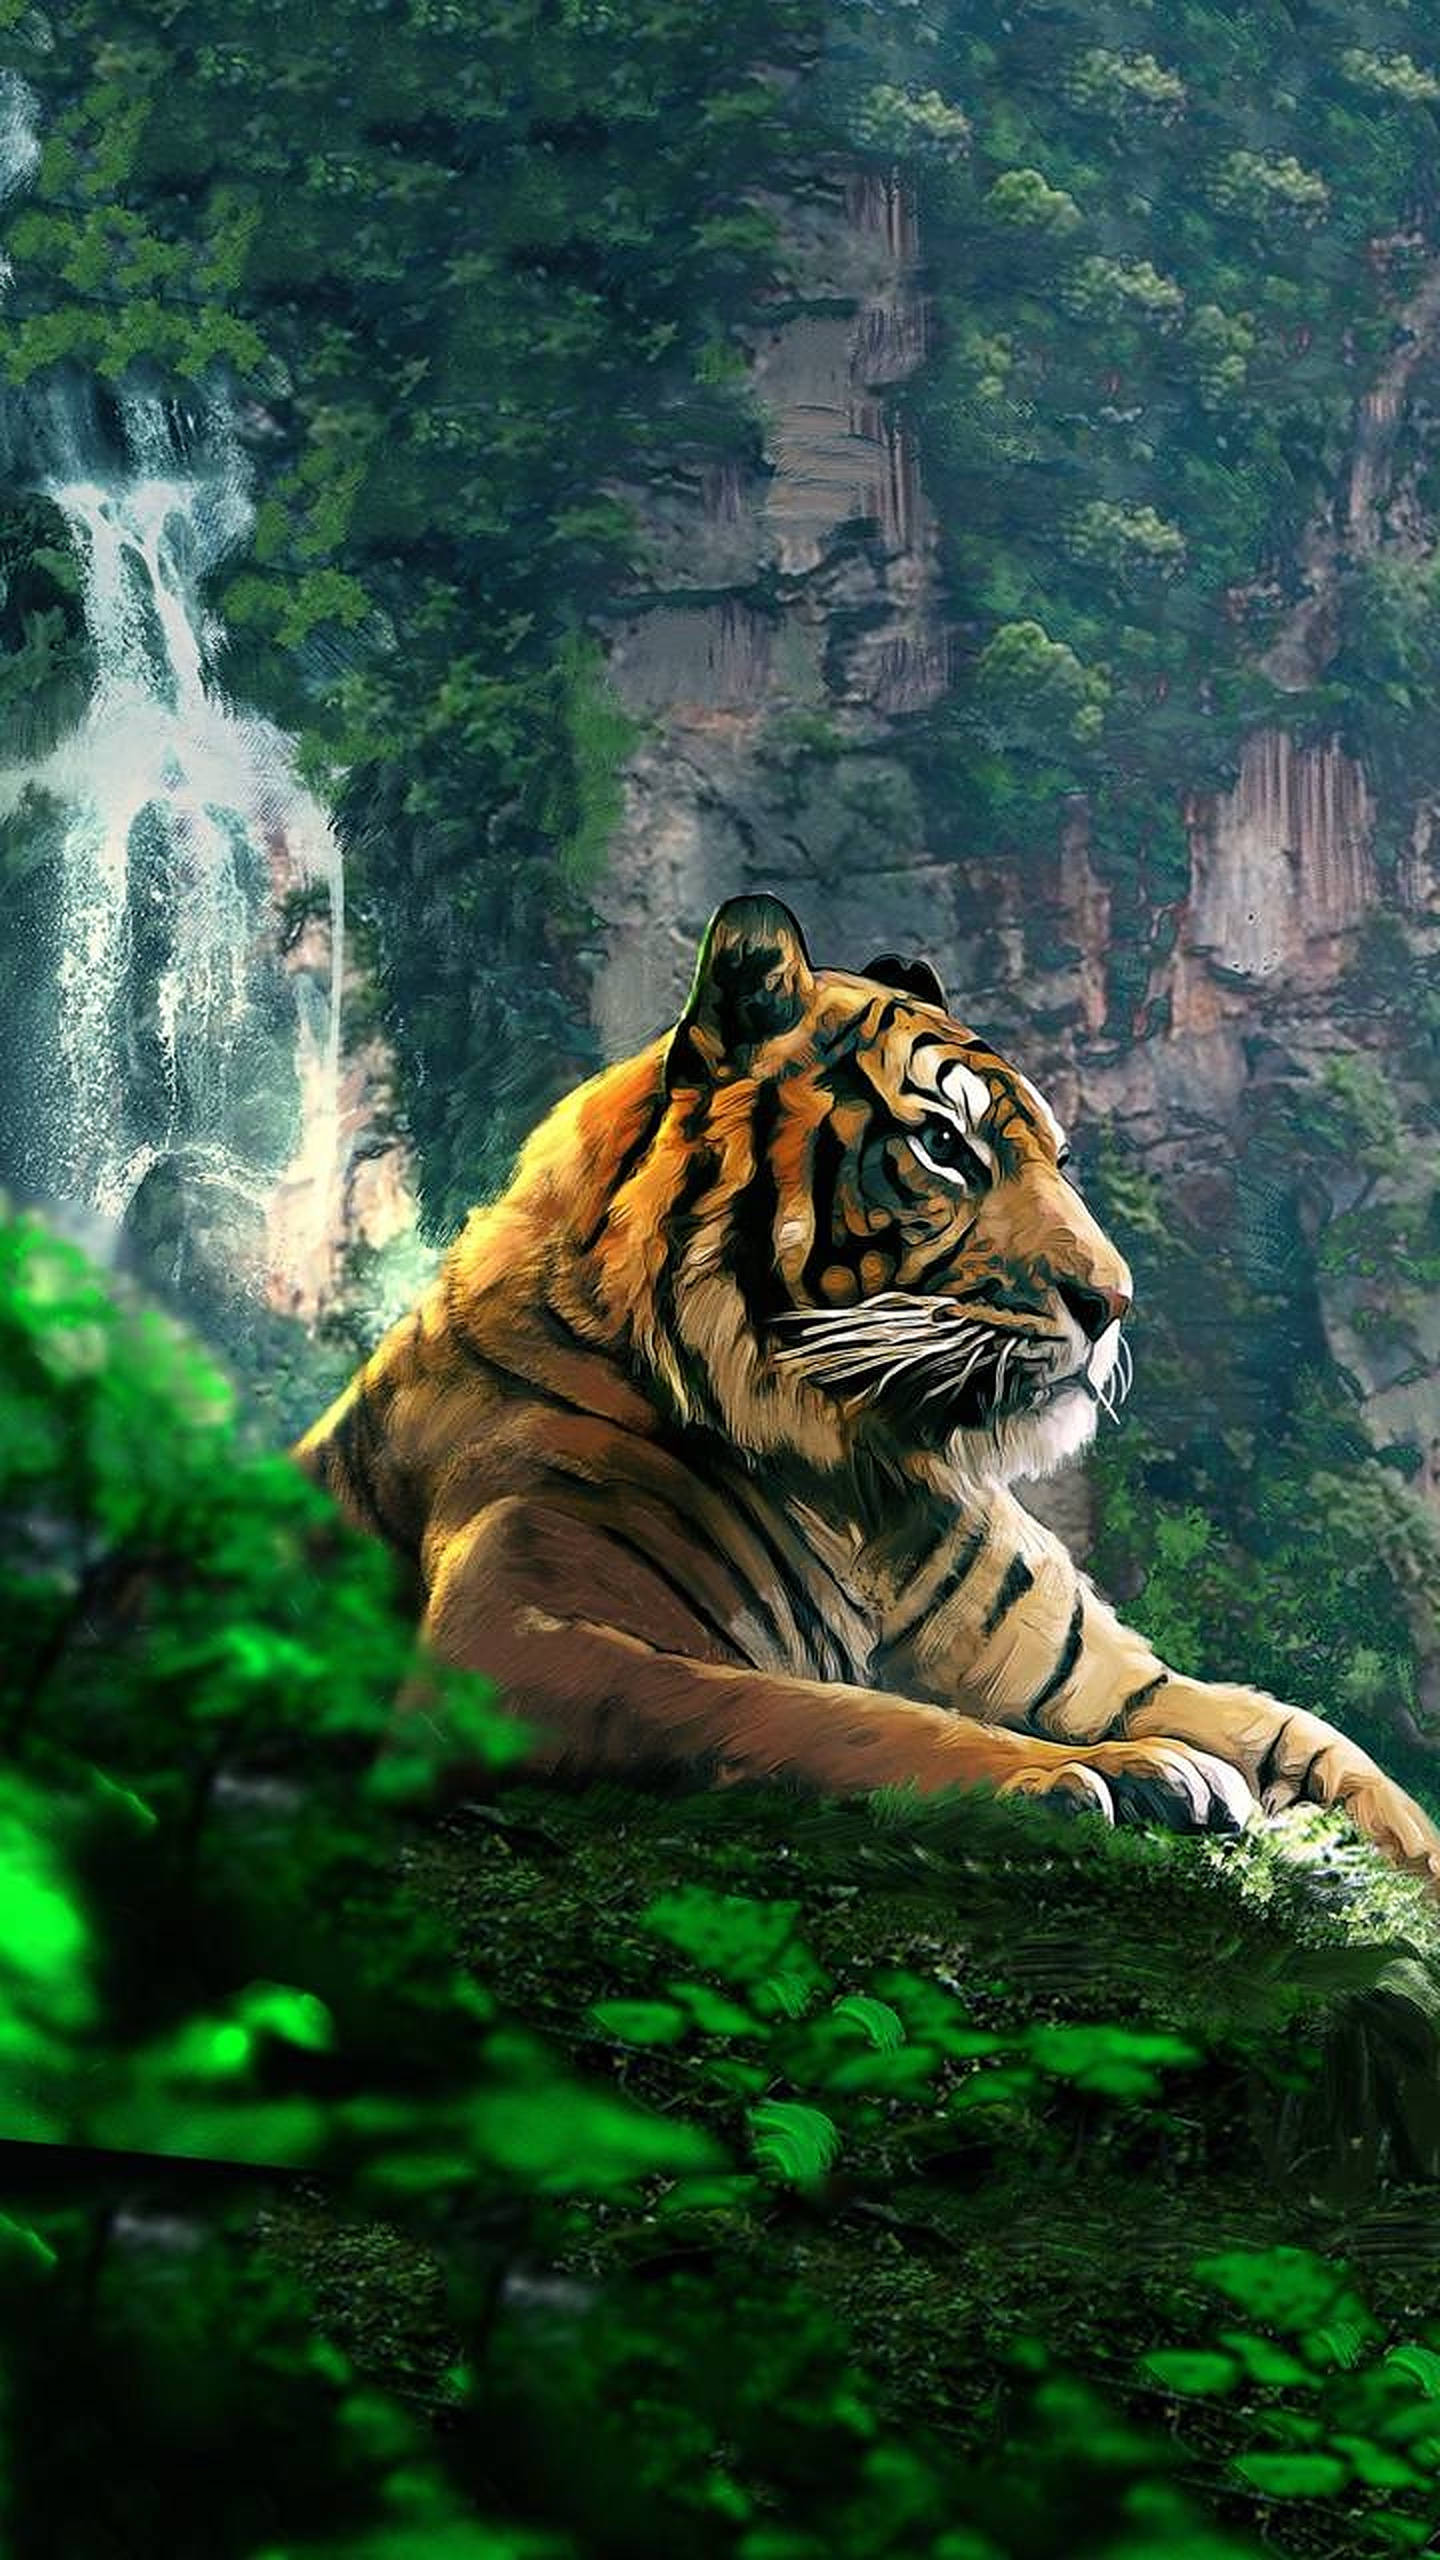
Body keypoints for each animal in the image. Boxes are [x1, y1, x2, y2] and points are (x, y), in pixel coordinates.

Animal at [295, 892, 1440, 1890]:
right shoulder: (514, 1644)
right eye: (944, 1145)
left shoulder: (1110, 1680)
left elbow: (1325, 1749)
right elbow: (823, 1714)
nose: (1114, 1300)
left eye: (1061, 1158)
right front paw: (1107, 1774)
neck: (865, 1476)